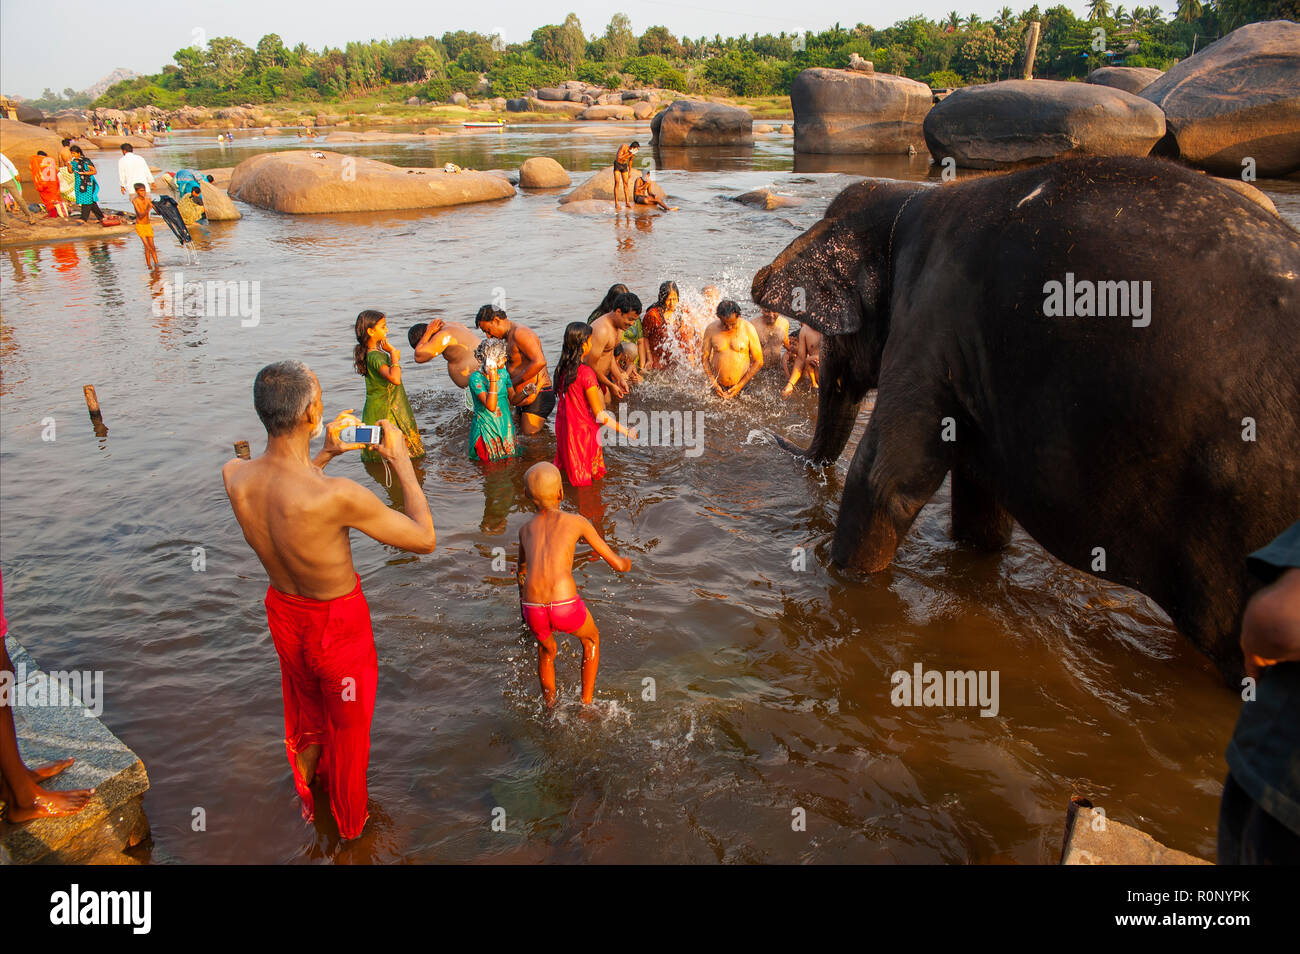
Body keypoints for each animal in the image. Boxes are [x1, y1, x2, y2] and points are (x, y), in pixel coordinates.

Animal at [754, 155, 1300, 681]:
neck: (908, 200)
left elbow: (885, 482)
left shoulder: (928, 324)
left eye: (829, 341)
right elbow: (979, 505)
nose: (780, 440)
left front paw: (846, 580)